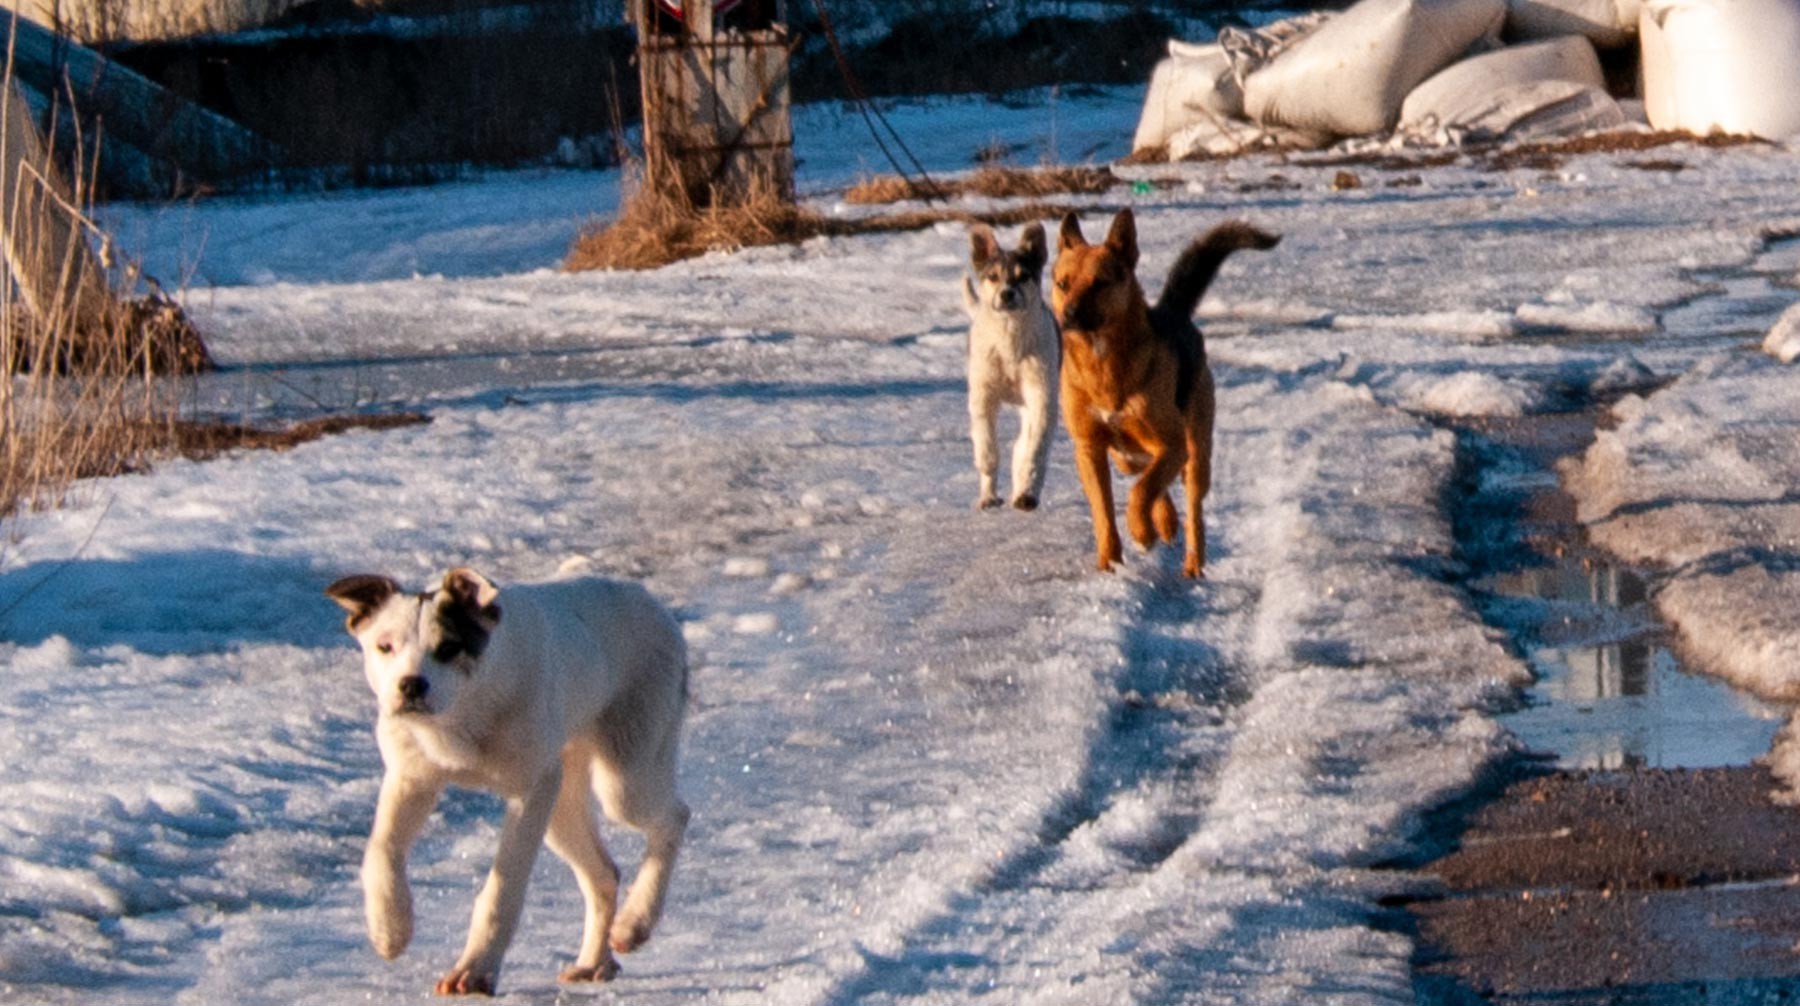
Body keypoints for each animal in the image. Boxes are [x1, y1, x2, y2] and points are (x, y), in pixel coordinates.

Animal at [324, 568, 687, 1000]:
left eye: (450, 647)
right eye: (385, 646)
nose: (411, 685)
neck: (462, 716)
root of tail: (643, 596)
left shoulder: (530, 790)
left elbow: (504, 887)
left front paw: (475, 971)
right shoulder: (411, 779)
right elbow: (381, 851)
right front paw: (389, 928)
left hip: (625, 776)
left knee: (674, 817)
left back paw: (636, 922)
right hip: (561, 799)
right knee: (604, 872)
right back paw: (594, 962)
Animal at [964, 221, 1058, 511]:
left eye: (1024, 276)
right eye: (993, 276)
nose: (1007, 294)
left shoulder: (1041, 394)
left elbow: (1035, 447)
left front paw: (1027, 486)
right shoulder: (983, 394)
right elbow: (986, 443)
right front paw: (988, 480)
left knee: (1024, 448)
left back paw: (1025, 494)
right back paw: (989, 496)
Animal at [1051, 208, 1281, 579]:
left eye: (1100, 283)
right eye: (1062, 283)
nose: (1068, 316)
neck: (1103, 365)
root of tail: (1174, 311)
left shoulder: (1172, 443)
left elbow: (1141, 491)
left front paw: (1142, 533)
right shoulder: (1089, 448)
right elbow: (1105, 510)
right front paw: (1110, 562)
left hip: (1196, 450)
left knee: (1190, 504)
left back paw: (1192, 561)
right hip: (1129, 454)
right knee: (1146, 471)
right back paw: (1166, 521)